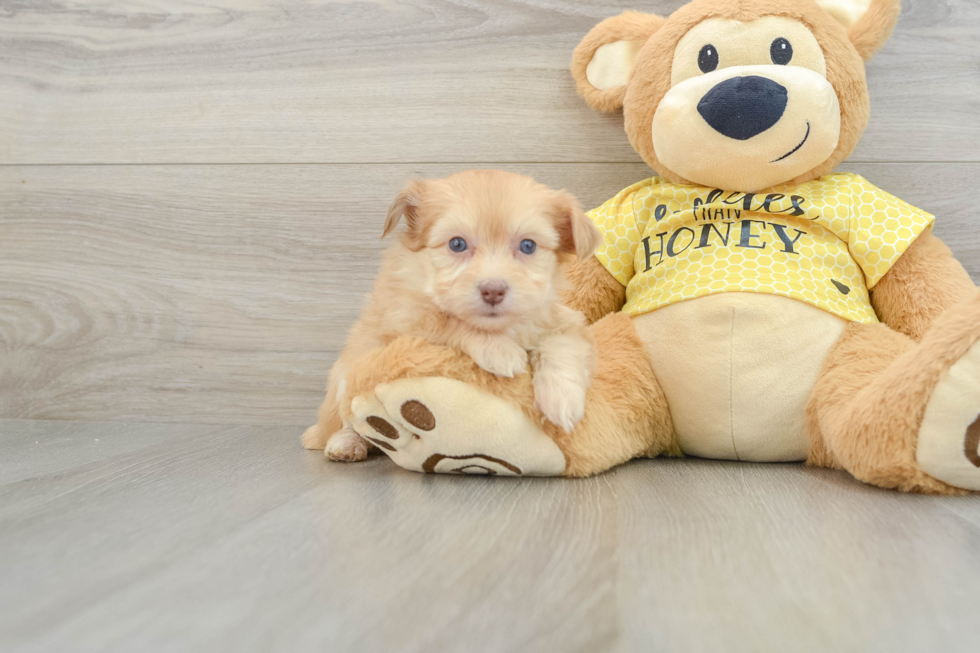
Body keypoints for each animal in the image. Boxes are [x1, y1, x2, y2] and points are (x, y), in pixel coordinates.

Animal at [302, 171, 600, 460]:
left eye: (528, 246)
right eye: (457, 244)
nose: (493, 290)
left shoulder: (563, 319)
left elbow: (561, 343)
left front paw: (564, 399)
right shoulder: (403, 320)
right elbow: (447, 320)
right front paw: (499, 350)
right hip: (345, 374)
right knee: (349, 420)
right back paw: (345, 443)